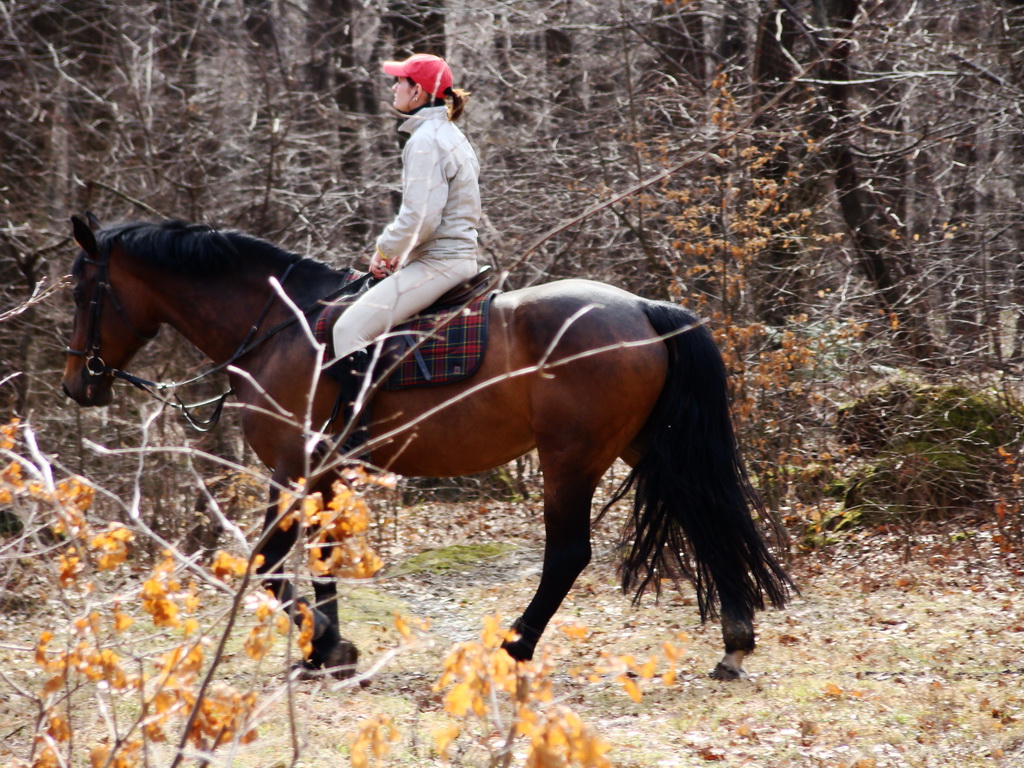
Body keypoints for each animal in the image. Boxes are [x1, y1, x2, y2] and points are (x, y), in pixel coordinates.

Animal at [64, 215, 794, 679]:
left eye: (82, 290)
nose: (77, 385)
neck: (282, 327)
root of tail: (644, 308)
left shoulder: (292, 466)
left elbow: (268, 561)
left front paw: (327, 648)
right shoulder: (325, 471)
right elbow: (320, 556)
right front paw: (325, 651)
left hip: (571, 460)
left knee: (569, 554)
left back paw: (515, 646)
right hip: (646, 449)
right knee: (708, 520)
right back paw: (734, 644)